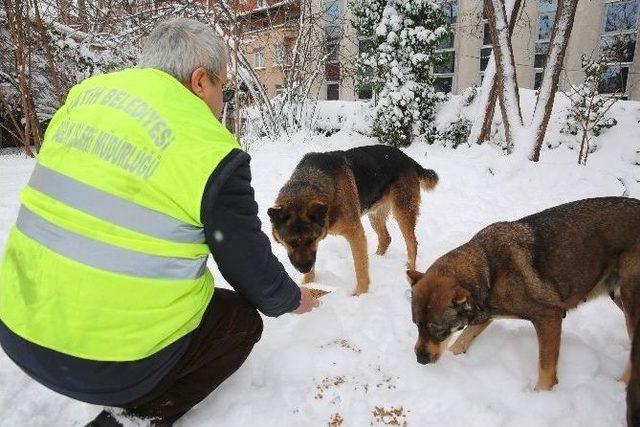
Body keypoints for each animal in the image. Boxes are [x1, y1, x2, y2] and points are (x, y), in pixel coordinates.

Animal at [268, 145, 438, 296]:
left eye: (311, 239)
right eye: (289, 242)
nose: (304, 268)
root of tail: (407, 158)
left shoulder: (355, 233)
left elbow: (360, 269)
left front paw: (359, 295)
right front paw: (308, 284)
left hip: (402, 213)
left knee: (412, 243)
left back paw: (410, 270)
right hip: (374, 214)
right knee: (386, 238)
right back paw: (377, 258)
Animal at [408, 197, 640, 392]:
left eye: (437, 329)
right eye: (416, 325)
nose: (420, 360)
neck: (489, 270)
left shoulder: (549, 317)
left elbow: (546, 369)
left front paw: (541, 398)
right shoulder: (485, 314)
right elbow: (462, 340)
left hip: (630, 304)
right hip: (619, 297)